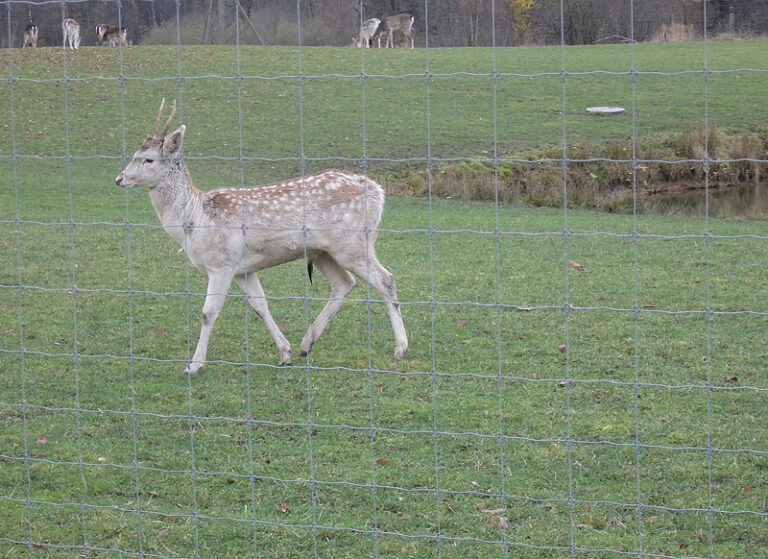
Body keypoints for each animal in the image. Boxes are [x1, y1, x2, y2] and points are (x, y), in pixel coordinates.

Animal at [114, 99, 408, 376]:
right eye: (135, 154)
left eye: (148, 159)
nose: (119, 179)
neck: (195, 219)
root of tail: (378, 190)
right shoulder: (243, 269)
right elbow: (259, 304)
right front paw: (284, 353)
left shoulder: (221, 264)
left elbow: (208, 313)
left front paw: (193, 365)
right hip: (324, 251)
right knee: (344, 284)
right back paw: (306, 344)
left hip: (353, 243)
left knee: (385, 280)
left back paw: (400, 349)